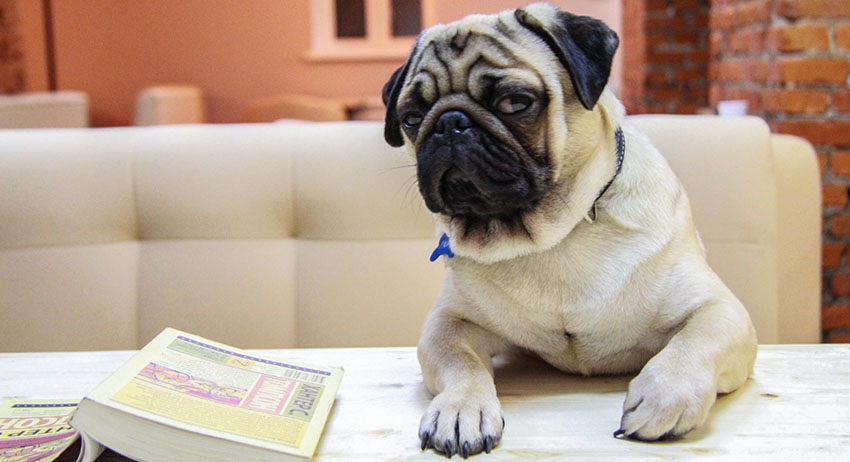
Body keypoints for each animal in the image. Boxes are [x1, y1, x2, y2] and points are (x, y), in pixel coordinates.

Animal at [381, 3, 757, 458]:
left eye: (515, 102)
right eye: (411, 118)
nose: (449, 124)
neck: (555, 237)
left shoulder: (719, 310)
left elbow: (692, 344)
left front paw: (666, 394)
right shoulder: (449, 323)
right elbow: (462, 363)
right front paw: (460, 408)